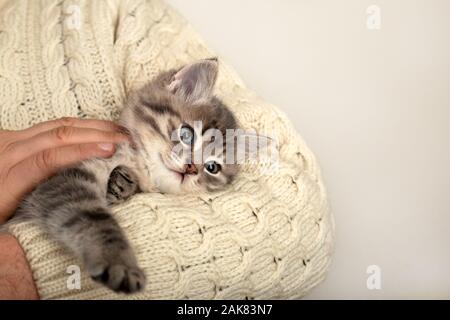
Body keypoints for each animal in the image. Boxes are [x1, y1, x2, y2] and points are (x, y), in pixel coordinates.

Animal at [14, 58, 239, 294]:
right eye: (187, 134)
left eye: (212, 167)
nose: (191, 168)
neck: (138, 161)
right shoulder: (63, 183)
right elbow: (98, 222)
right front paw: (120, 264)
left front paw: (122, 183)